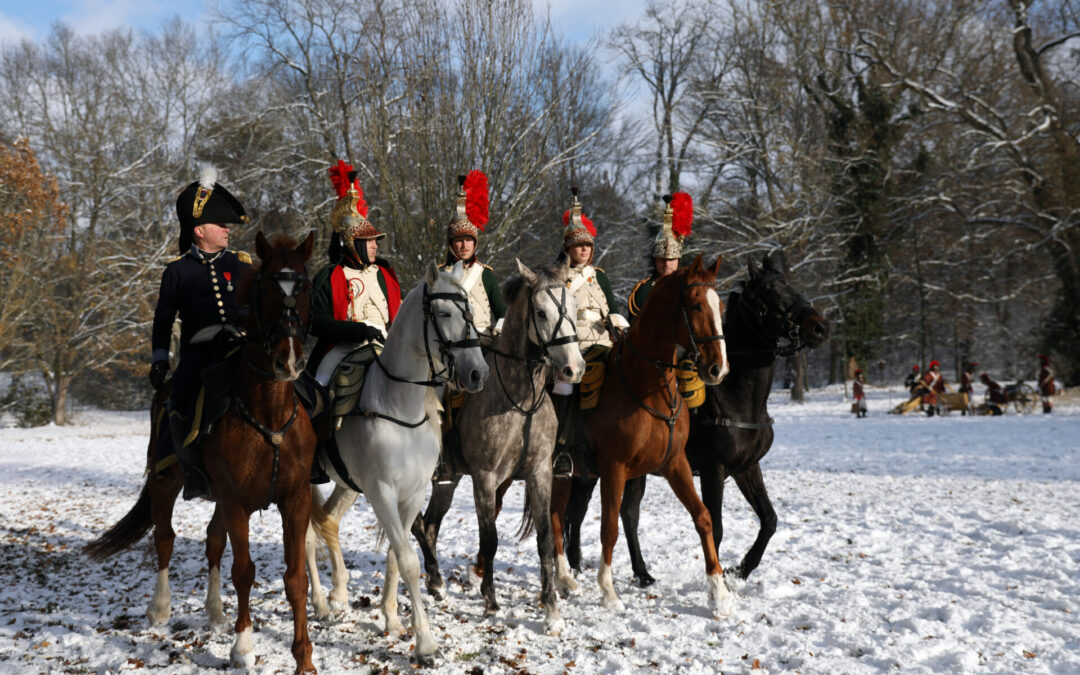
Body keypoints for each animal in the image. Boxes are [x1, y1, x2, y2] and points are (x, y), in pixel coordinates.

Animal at [85, 230, 315, 669]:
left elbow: (296, 578)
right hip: (166, 479)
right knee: (165, 537)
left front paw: (303, 657)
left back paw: (215, 613)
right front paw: (243, 647)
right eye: (265, 290)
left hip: (218, 497)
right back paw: (160, 607)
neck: (269, 413)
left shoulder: (294, 501)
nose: (289, 361)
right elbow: (244, 570)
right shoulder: (237, 501)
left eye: (305, 287)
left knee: (211, 541)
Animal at [306, 260, 488, 665]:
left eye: (470, 313)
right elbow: (407, 559)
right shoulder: (382, 493)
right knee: (304, 536)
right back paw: (326, 602)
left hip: (346, 486)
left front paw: (391, 618)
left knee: (322, 524)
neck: (398, 406)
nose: (478, 374)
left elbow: (394, 554)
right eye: (444, 313)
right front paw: (426, 643)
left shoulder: (413, 493)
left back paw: (333, 598)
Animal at [548, 252, 734, 617]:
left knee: (561, 515)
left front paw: (718, 591)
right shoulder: (614, 469)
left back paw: (565, 576)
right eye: (695, 305)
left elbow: (703, 517)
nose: (718, 369)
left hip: (572, 473)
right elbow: (609, 527)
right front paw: (608, 591)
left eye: (721, 307)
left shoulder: (675, 464)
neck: (648, 386)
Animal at [565, 251, 825, 583]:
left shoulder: (746, 467)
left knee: (625, 513)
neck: (737, 395)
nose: (820, 327)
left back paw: (639, 572)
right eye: (770, 291)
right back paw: (576, 563)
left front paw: (741, 568)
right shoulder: (713, 470)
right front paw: (719, 575)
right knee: (580, 509)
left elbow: (769, 519)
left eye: (788, 285)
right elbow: (718, 526)